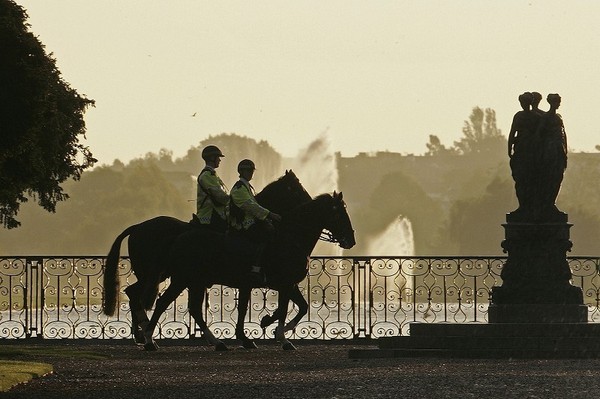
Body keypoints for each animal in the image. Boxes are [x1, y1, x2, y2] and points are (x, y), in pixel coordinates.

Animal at [102, 170, 314, 344]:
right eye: (297, 188)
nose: (310, 200)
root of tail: (138, 227)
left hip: (159, 275)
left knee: (133, 293)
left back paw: (141, 333)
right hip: (156, 275)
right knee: (137, 295)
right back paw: (145, 332)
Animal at [142, 192, 354, 352]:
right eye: (339, 213)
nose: (351, 240)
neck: (291, 239)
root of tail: (178, 238)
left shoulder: (288, 284)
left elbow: (302, 307)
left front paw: (273, 326)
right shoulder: (284, 284)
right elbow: (284, 309)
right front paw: (279, 334)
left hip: (195, 282)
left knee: (192, 309)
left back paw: (215, 342)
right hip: (184, 279)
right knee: (164, 303)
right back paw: (149, 340)